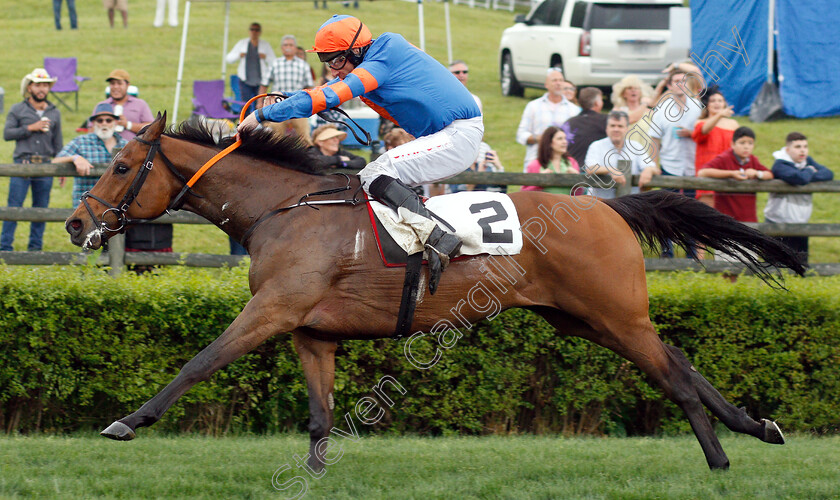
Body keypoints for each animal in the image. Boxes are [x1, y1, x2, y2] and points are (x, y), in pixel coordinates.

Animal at [64, 113, 800, 468]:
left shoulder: (272, 310)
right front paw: (313, 476)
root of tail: (608, 206)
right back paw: (756, 427)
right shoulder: (312, 330)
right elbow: (321, 415)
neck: (286, 208)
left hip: (614, 313)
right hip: (584, 318)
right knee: (679, 361)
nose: (75, 222)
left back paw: (719, 457)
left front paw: (127, 421)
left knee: (672, 376)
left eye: (123, 166)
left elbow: (198, 362)